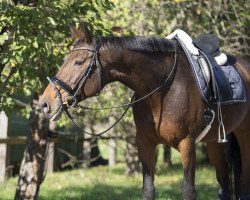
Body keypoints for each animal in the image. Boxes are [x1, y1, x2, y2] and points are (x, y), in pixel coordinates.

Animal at [40, 25, 249, 200]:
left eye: (78, 62)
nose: (45, 103)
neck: (162, 89)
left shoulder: (187, 144)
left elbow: (189, 192)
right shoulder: (144, 143)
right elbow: (148, 190)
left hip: (244, 137)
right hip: (215, 142)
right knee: (224, 183)